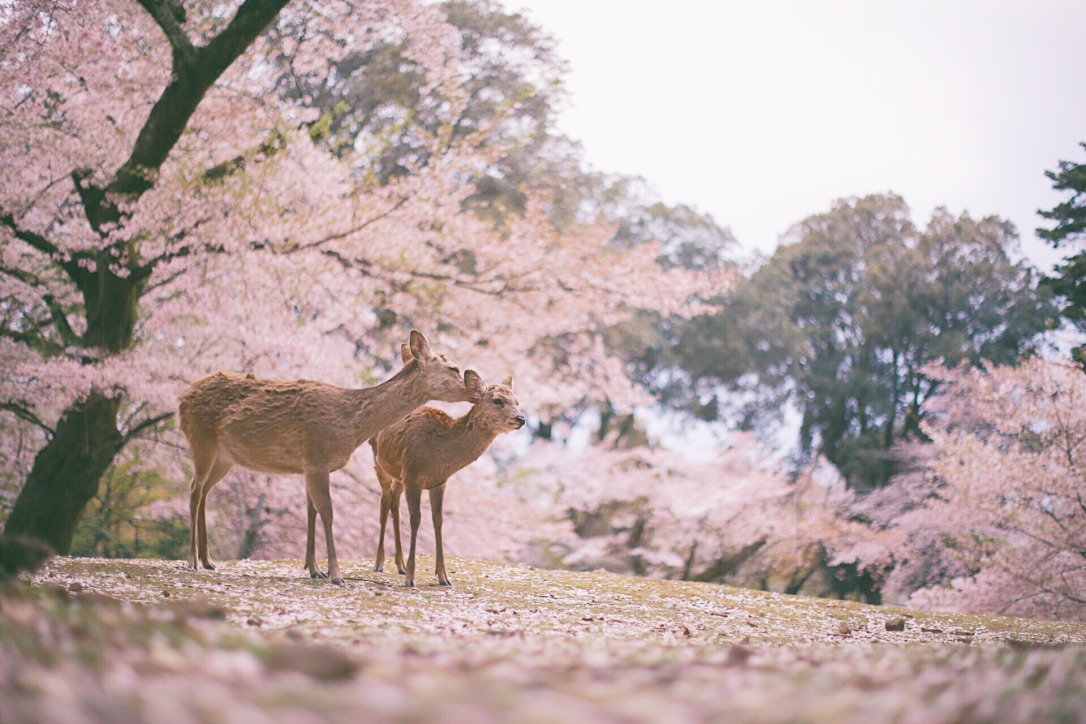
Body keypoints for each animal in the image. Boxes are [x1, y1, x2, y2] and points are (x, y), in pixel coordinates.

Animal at [178, 332, 471, 586]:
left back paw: (208, 560)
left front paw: (315, 569)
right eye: (454, 368)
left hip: (225, 458)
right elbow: (327, 512)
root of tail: (182, 398)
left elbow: (312, 511)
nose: (473, 389)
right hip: (200, 439)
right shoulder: (316, 456)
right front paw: (336, 575)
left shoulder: (314, 465)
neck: (350, 426)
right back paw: (192, 561)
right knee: (193, 489)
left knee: (204, 490)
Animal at [369, 371, 525, 586]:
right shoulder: (412, 475)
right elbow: (416, 518)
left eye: (517, 401)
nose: (521, 418)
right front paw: (411, 578)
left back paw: (399, 564)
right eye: (497, 400)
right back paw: (379, 564)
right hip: (379, 463)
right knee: (384, 502)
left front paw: (443, 577)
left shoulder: (439, 482)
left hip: (398, 476)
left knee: (394, 502)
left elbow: (438, 520)